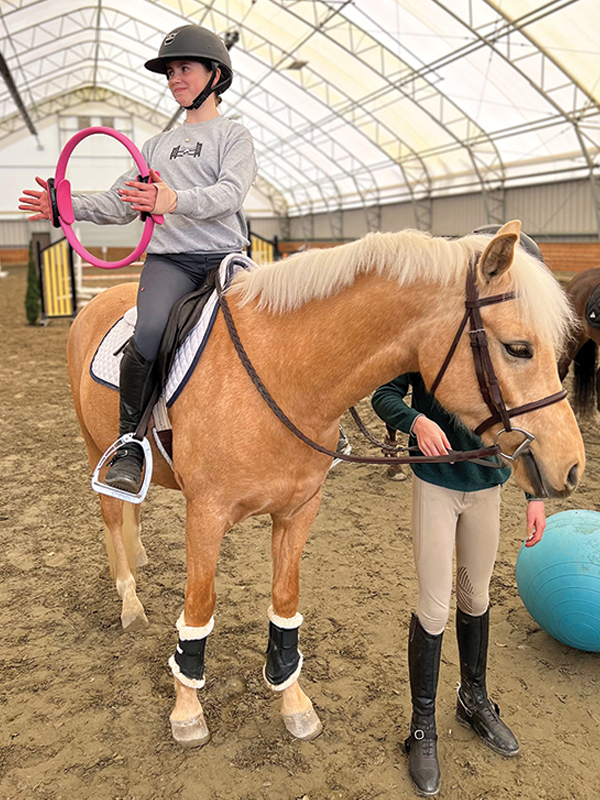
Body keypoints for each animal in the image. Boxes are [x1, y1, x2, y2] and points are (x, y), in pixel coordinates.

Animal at [67, 221, 585, 748]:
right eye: (518, 348)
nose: (571, 466)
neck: (283, 373)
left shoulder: (299, 510)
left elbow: (285, 600)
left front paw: (293, 701)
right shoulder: (205, 516)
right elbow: (199, 606)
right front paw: (187, 710)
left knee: (132, 510)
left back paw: (140, 558)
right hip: (93, 445)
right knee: (113, 515)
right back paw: (130, 597)